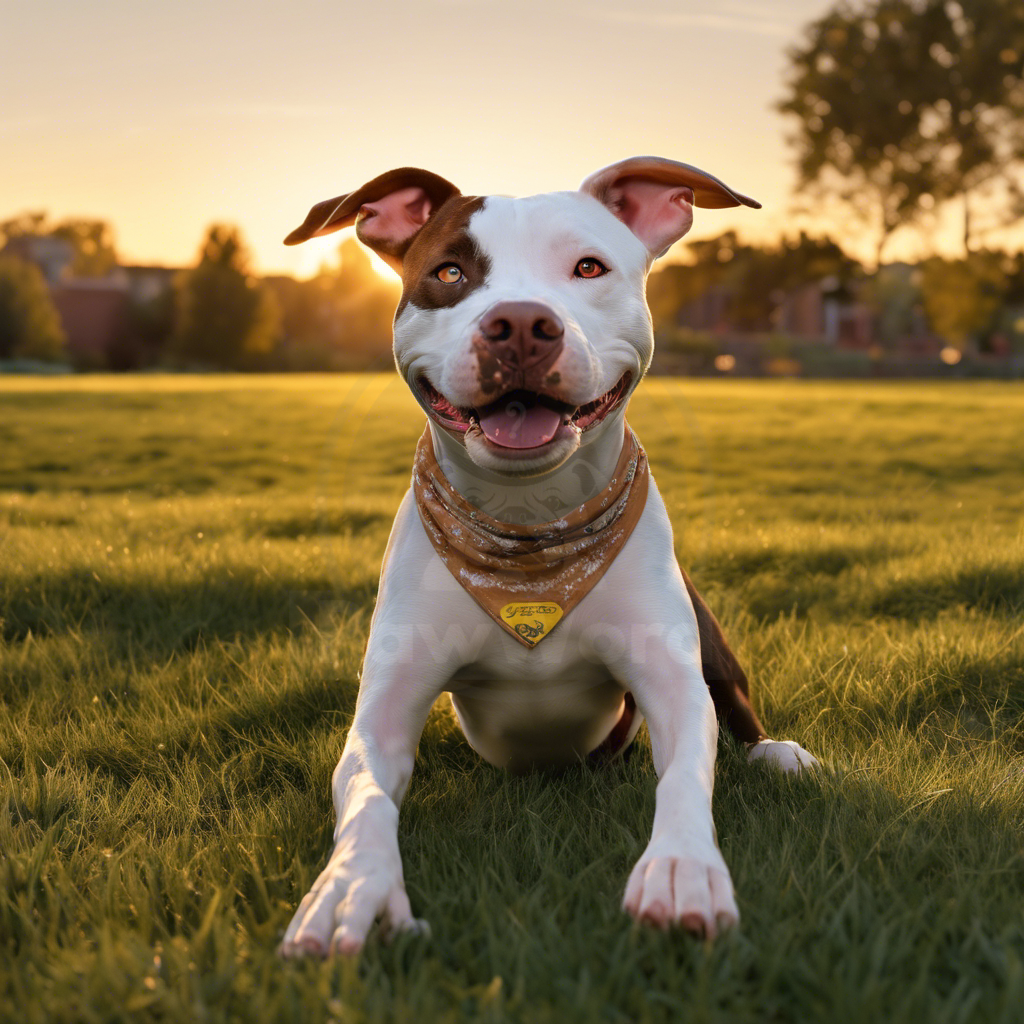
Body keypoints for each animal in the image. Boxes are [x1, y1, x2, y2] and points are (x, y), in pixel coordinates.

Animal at [278, 155, 815, 954]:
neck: (529, 535)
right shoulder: (381, 718)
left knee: (736, 707)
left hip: (704, 624)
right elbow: (369, 794)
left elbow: (688, 766)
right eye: (448, 272)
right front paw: (353, 887)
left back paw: (776, 753)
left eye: (588, 267)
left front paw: (682, 867)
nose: (522, 325)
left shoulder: (671, 680)